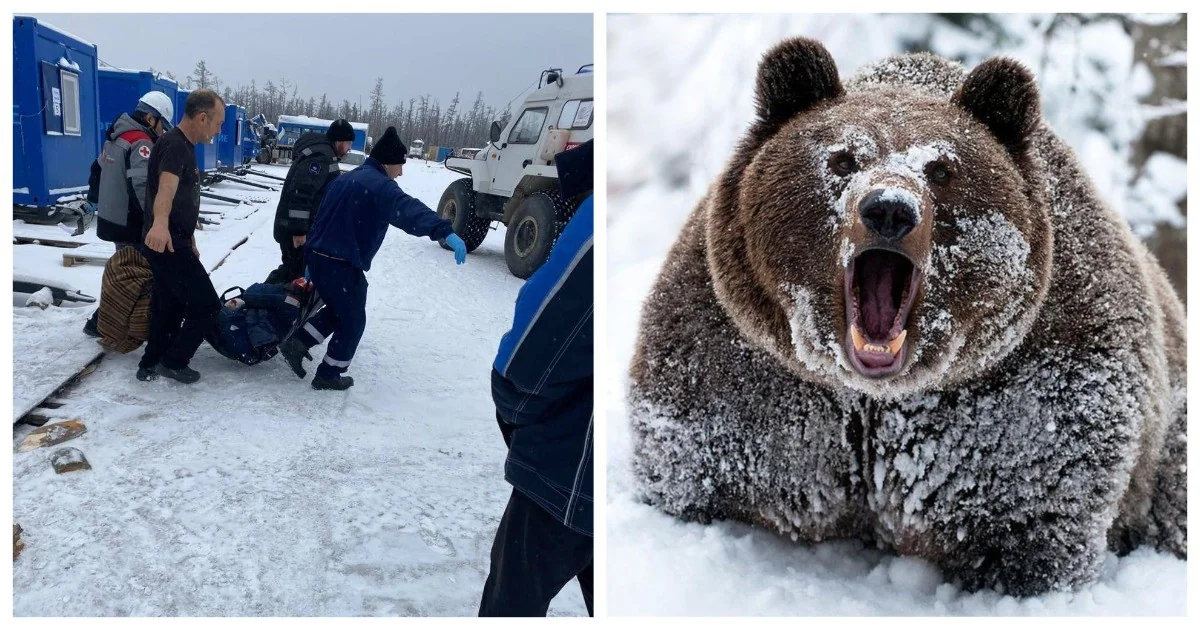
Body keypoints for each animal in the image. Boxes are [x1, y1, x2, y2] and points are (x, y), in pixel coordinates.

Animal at [627, 37, 1187, 598]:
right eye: (843, 158)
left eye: (941, 168)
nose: (890, 209)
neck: (874, 398)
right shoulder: (743, 372)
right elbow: (697, 467)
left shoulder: (1029, 392)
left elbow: (1032, 515)